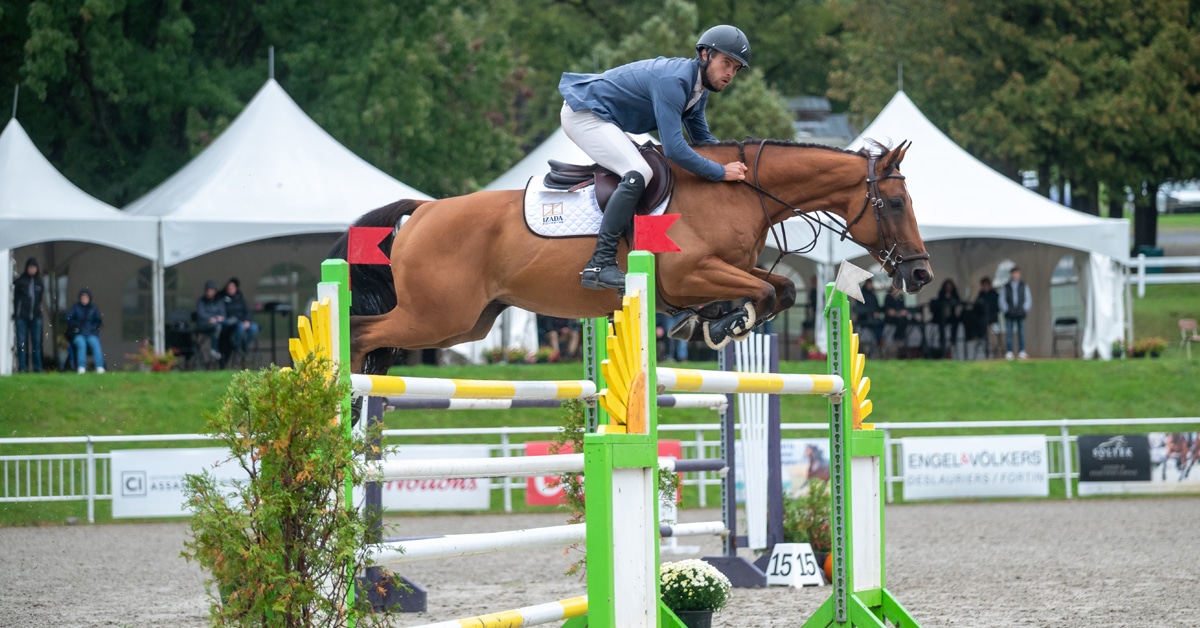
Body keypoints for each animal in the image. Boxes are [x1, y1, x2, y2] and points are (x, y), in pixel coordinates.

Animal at [329, 139, 933, 374]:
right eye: (896, 203)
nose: (921, 273)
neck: (739, 192)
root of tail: (424, 211)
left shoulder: (728, 269)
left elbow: (778, 289)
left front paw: (711, 324)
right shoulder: (690, 273)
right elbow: (764, 291)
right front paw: (722, 323)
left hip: (466, 324)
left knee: (377, 338)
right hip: (435, 316)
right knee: (361, 333)